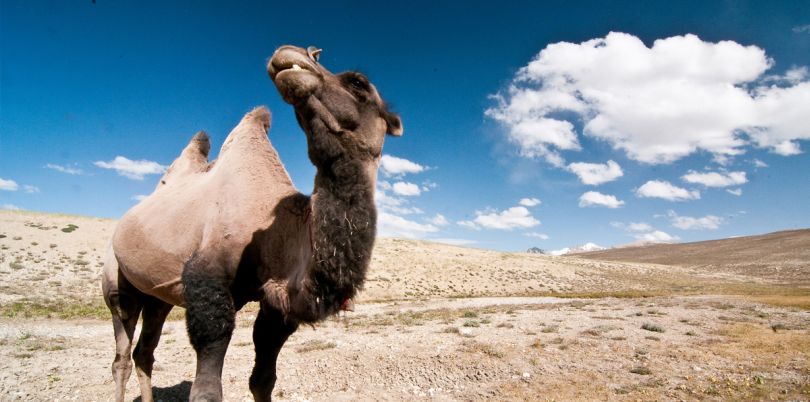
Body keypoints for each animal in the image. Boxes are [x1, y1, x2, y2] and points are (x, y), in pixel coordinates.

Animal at [102, 44, 402, 402]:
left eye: (358, 83)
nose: (294, 54)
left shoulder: (277, 307)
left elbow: (263, 379)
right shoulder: (207, 283)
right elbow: (206, 388)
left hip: (157, 297)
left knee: (144, 352)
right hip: (117, 282)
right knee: (121, 351)